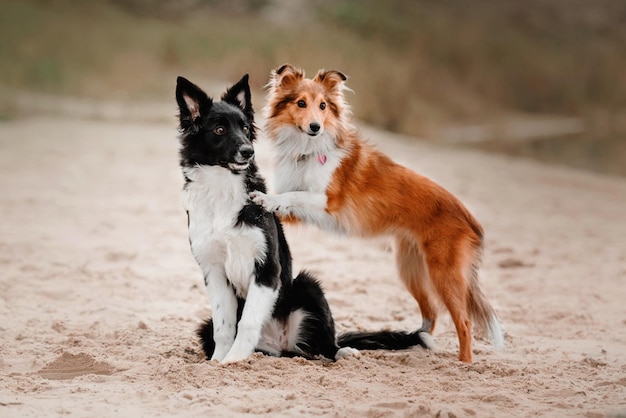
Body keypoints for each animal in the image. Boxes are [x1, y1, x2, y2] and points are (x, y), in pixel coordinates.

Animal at [176, 75, 360, 362]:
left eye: (244, 128)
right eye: (219, 129)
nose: (248, 151)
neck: (222, 188)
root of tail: (282, 346)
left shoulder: (267, 268)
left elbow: (248, 322)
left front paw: (234, 360)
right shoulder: (213, 270)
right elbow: (224, 325)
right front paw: (218, 362)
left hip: (307, 285)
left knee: (326, 344)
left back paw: (342, 351)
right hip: (208, 325)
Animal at [251, 63, 504, 360]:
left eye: (323, 105)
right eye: (301, 103)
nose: (315, 127)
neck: (308, 150)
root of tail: (471, 219)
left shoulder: (328, 202)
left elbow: (292, 196)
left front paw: (265, 199)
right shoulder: (296, 215)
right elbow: (285, 201)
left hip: (443, 273)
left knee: (463, 322)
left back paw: (463, 363)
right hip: (411, 269)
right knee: (431, 313)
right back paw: (415, 342)